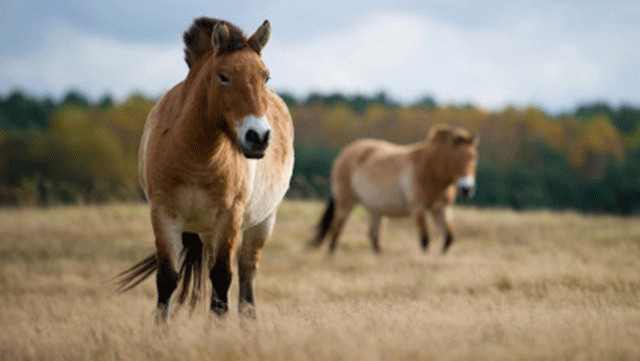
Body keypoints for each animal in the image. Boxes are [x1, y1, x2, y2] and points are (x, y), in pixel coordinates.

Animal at [116, 17, 294, 320]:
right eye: (223, 76)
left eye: (266, 77)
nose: (258, 137)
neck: (196, 158)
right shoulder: (164, 216)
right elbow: (167, 280)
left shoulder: (229, 218)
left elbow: (223, 279)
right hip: (208, 232)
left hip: (261, 223)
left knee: (246, 275)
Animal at [308, 125, 478, 255]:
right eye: (454, 158)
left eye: (473, 157)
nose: (466, 189)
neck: (431, 170)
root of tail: (344, 154)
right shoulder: (418, 208)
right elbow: (425, 239)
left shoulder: (441, 209)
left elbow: (449, 238)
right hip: (345, 201)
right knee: (337, 227)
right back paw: (332, 254)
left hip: (376, 210)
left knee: (373, 236)